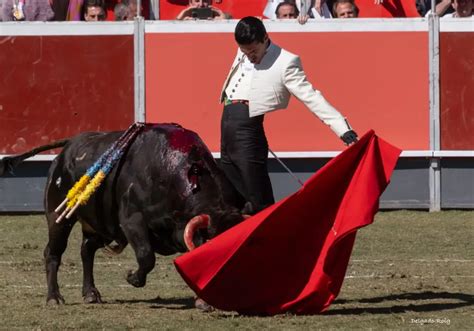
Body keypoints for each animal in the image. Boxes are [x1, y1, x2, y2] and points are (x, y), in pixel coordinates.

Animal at [0, 123, 250, 304]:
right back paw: (54, 298)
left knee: (86, 251)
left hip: (98, 226)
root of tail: (68, 146)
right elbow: (146, 255)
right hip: (58, 217)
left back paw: (91, 294)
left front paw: (205, 301)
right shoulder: (132, 221)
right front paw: (133, 278)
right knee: (53, 253)